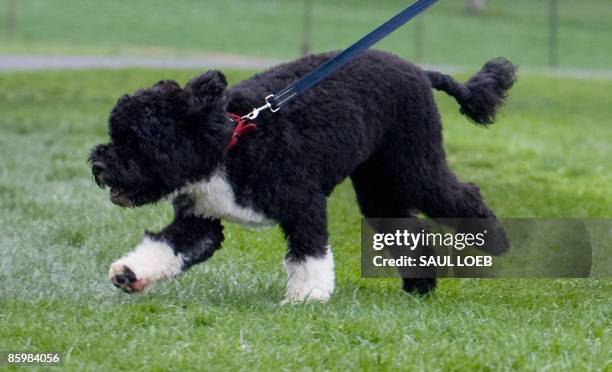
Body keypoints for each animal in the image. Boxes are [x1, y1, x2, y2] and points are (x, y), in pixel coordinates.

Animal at [89, 49, 516, 300]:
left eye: (137, 138)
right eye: (115, 133)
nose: (99, 165)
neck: (230, 142)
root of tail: (421, 72)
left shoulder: (303, 203)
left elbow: (309, 253)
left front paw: (306, 297)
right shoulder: (201, 217)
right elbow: (171, 245)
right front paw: (130, 273)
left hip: (412, 165)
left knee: (461, 194)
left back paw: (495, 241)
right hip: (378, 183)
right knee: (408, 228)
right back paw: (419, 287)